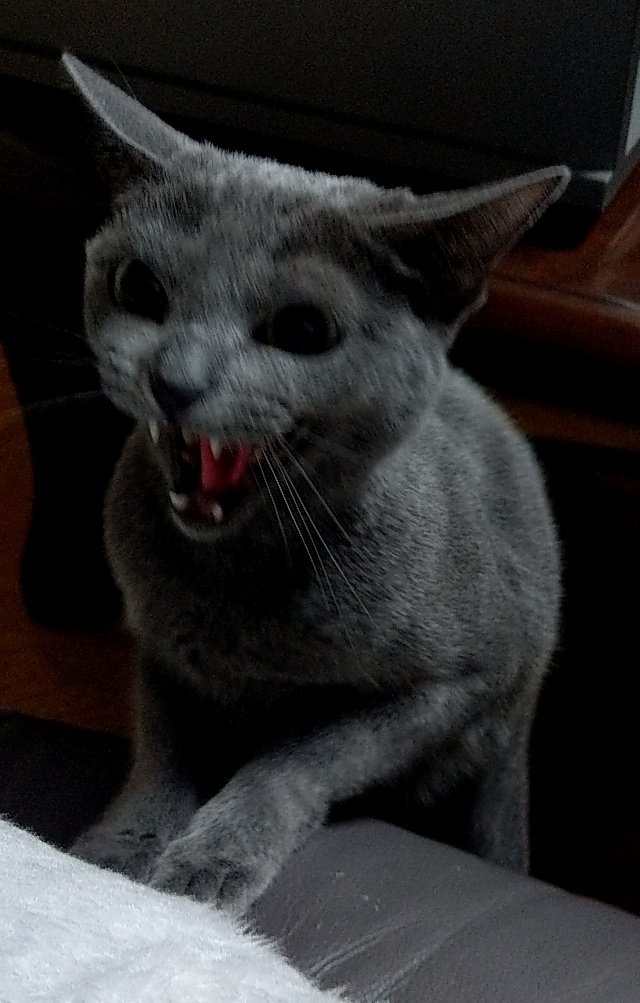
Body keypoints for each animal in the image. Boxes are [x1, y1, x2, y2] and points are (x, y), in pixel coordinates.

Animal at [63, 54, 568, 916]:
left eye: (303, 331)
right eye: (138, 287)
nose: (174, 380)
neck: (233, 579)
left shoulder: (446, 687)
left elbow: (299, 756)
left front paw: (214, 856)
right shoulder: (159, 648)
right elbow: (162, 751)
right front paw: (119, 848)